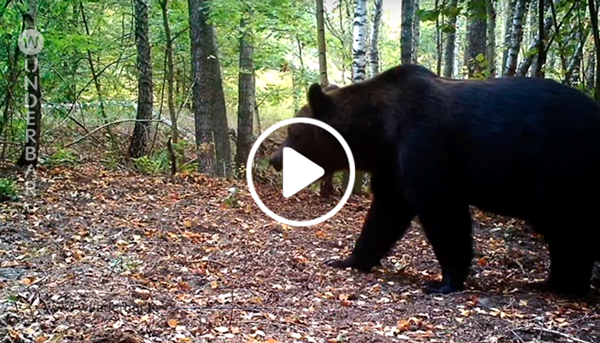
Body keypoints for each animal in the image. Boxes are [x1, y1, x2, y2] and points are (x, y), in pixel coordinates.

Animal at [270, 63, 600, 296]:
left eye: (293, 131)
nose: (274, 159)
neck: (379, 131)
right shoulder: (392, 166)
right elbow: (384, 216)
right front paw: (348, 259)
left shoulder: (423, 144)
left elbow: (442, 212)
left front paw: (445, 281)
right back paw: (557, 281)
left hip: (558, 169)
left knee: (568, 227)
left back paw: (565, 281)